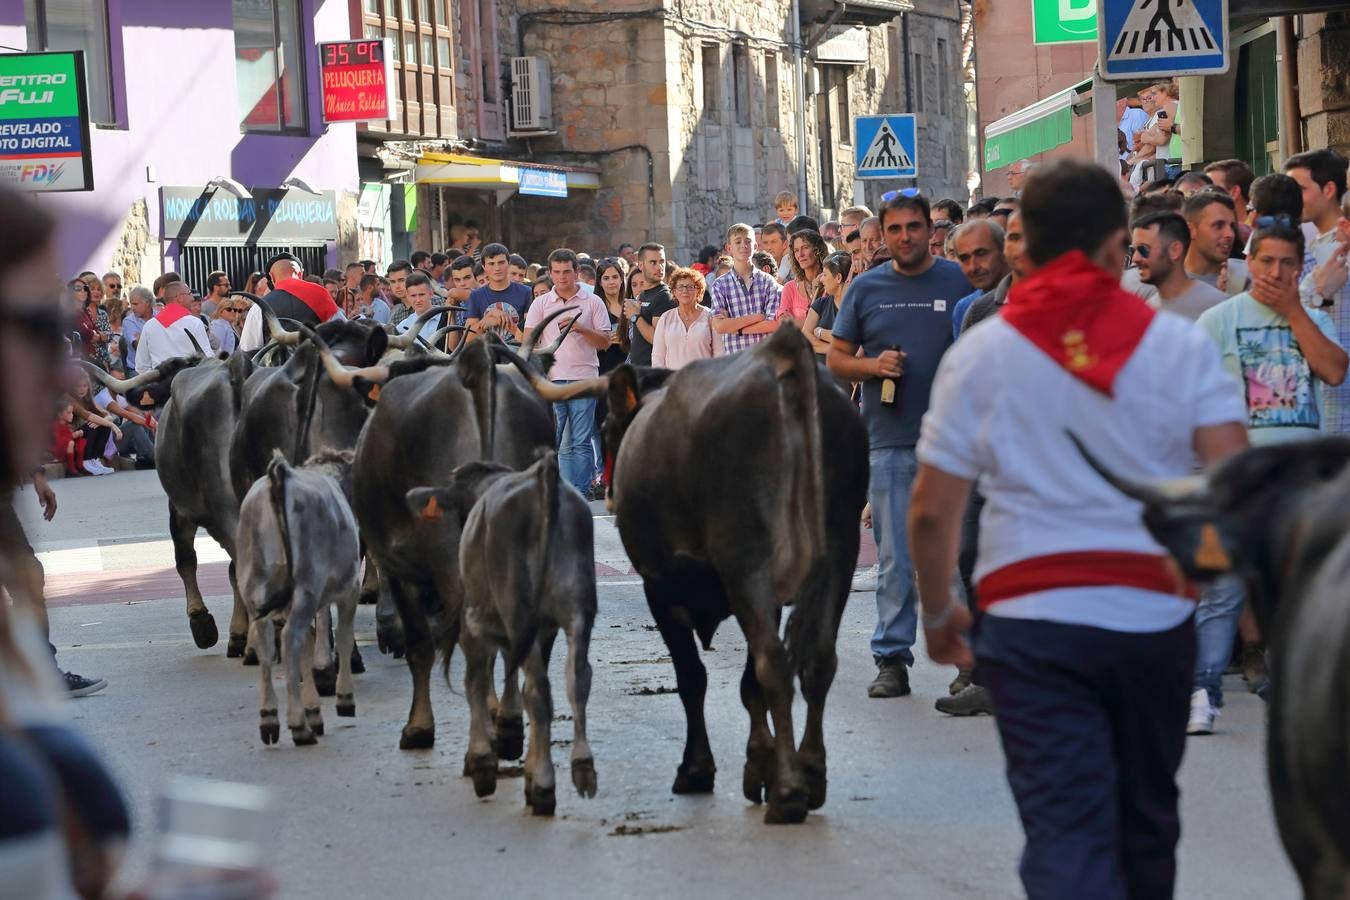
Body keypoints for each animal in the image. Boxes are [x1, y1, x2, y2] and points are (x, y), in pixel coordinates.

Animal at [237, 450, 361, 744]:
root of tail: (280, 474)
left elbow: (308, 645)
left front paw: (313, 710)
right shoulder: (351, 589)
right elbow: (343, 636)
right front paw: (344, 698)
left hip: (255, 588)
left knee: (267, 646)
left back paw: (270, 718)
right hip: (307, 587)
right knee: (289, 638)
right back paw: (298, 725)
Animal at [407, 453, 599, 814]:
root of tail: (543, 477)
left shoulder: (474, 624)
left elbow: (476, 681)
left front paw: (482, 761)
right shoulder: (542, 631)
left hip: (517, 613)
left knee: (538, 691)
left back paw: (544, 786)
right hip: (578, 609)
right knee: (576, 679)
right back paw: (581, 769)